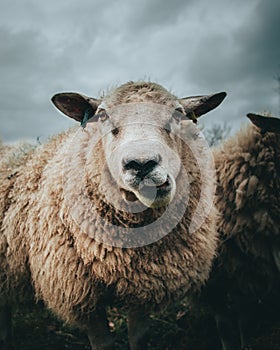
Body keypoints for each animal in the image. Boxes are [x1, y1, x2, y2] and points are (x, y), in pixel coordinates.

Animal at [0, 82, 225, 350]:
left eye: (179, 113)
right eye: (103, 115)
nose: (141, 163)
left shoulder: (144, 286)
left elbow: (139, 337)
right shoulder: (81, 295)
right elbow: (103, 344)